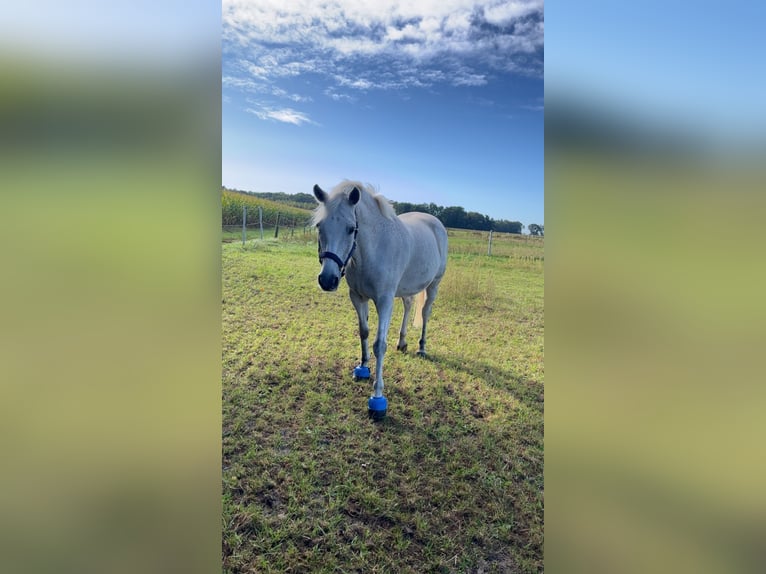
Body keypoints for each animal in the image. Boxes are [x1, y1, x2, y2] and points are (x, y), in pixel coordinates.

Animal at [312, 180, 448, 417]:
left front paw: (377, 398)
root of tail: (435, 223)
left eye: (351, 228)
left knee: (425, 313)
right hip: (406, 289)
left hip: (433, 286)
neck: (372, 250)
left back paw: (421, 348)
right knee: (408, 305)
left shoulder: (384, 301)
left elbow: (379, 345)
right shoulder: (358, 298)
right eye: (320, 226)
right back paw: (402, 342)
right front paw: (363, 368)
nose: (328, 280)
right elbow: (363, 332)